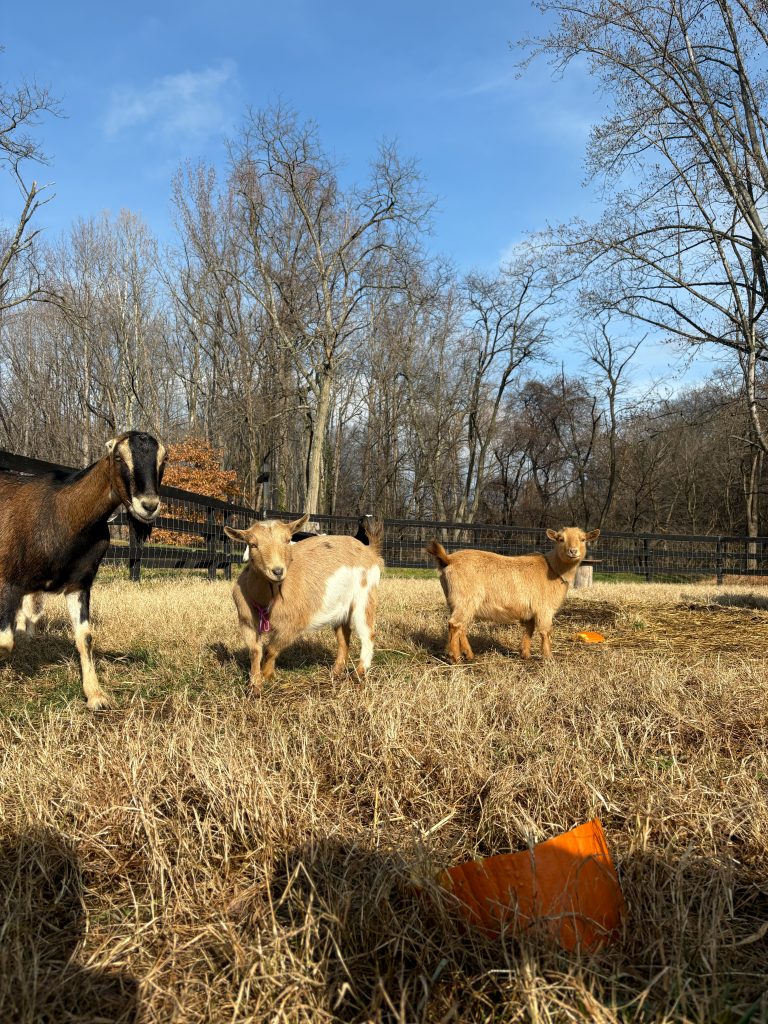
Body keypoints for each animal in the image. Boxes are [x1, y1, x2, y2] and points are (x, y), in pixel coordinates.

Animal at [0, 431, 166, 709]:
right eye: (118, 456)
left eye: (164, 460)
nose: (149, 505)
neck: (61, 513)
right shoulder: (7, 581)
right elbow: (4, 642)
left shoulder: (79, 584)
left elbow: (85, 637)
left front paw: (96, 695)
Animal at [224, 514, 384, 693]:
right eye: (252, 544)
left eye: (288, 540)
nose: (277, 571)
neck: (267, 599)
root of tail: (369, 550)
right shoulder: (246, 622)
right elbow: (254, 651)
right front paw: (254, 685)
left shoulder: (291, 626)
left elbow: (271, 650)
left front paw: (267, 675)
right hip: (340, 608)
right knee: (344, 637)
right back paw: (336, 672)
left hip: (365, 596)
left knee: (367, 634)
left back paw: (358, 673)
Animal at [426, 526, 600, 662]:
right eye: (560, 539)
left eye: (583, 539)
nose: (573, 551)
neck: (553, 569)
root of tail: (449, 559)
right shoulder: (544, 608)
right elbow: (545, 631)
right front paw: (548, 657)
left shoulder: (530, 610)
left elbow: (529, 629)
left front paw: (526, 654)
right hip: (466, 598)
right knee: (455, 624)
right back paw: (455, 658)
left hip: (455, 601)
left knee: (461, 626)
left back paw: (469, 655)